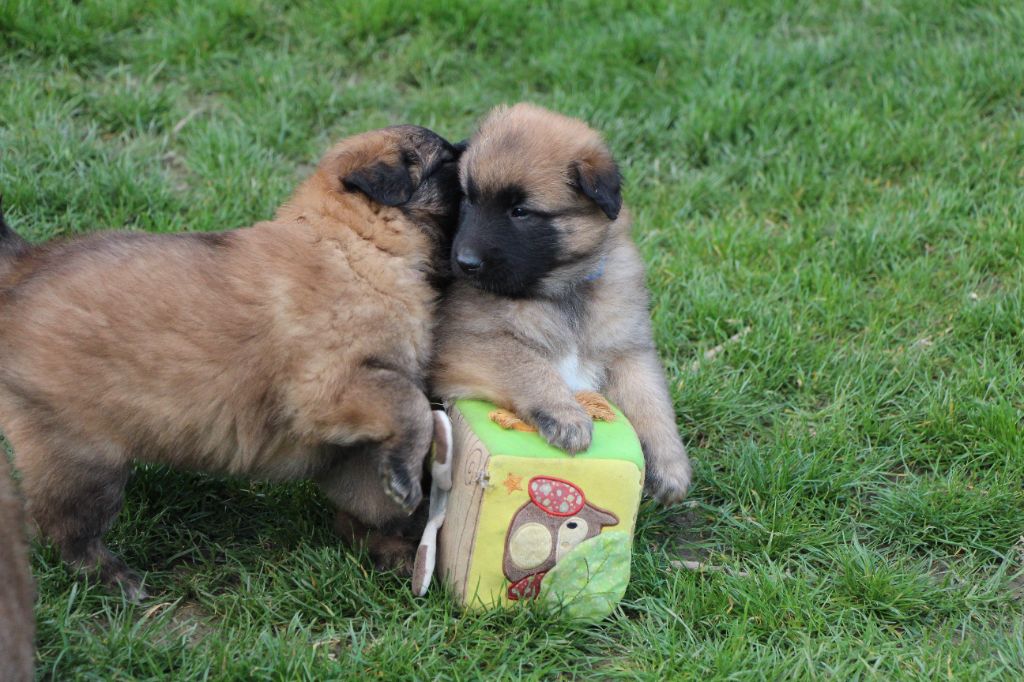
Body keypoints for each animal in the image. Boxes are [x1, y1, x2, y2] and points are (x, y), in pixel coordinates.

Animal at [0, 125, 460, 593]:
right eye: (448, 162)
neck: (357, 243)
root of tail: (23, 266)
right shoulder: (326, 389)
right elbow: (411, 405)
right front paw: (407, 486)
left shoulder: (345, 446)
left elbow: (371, 501)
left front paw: (400, 529)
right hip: (82, 453)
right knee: (62, 524)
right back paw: (110, 576)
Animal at [428, 103, 692, 501]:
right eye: (468, 199)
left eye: (520, 211)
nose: (464, 263)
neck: (561, 291)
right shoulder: (462, 342)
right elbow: (526, 363)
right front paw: (564, 413)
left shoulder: (628, 348)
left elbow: (651, 399)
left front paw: (670, 463)